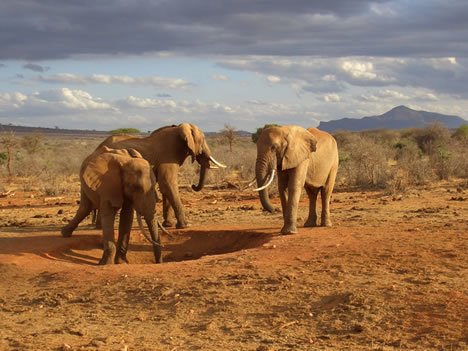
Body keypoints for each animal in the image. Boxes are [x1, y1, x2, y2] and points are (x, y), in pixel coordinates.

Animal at [97, 123, 225, 228]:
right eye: (203, 140)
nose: (193, 186)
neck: (179, 129)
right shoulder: (168, 157)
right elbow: (168, 184)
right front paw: (186, 225)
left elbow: (166, 188)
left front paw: (168, 225)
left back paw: (99, 227)